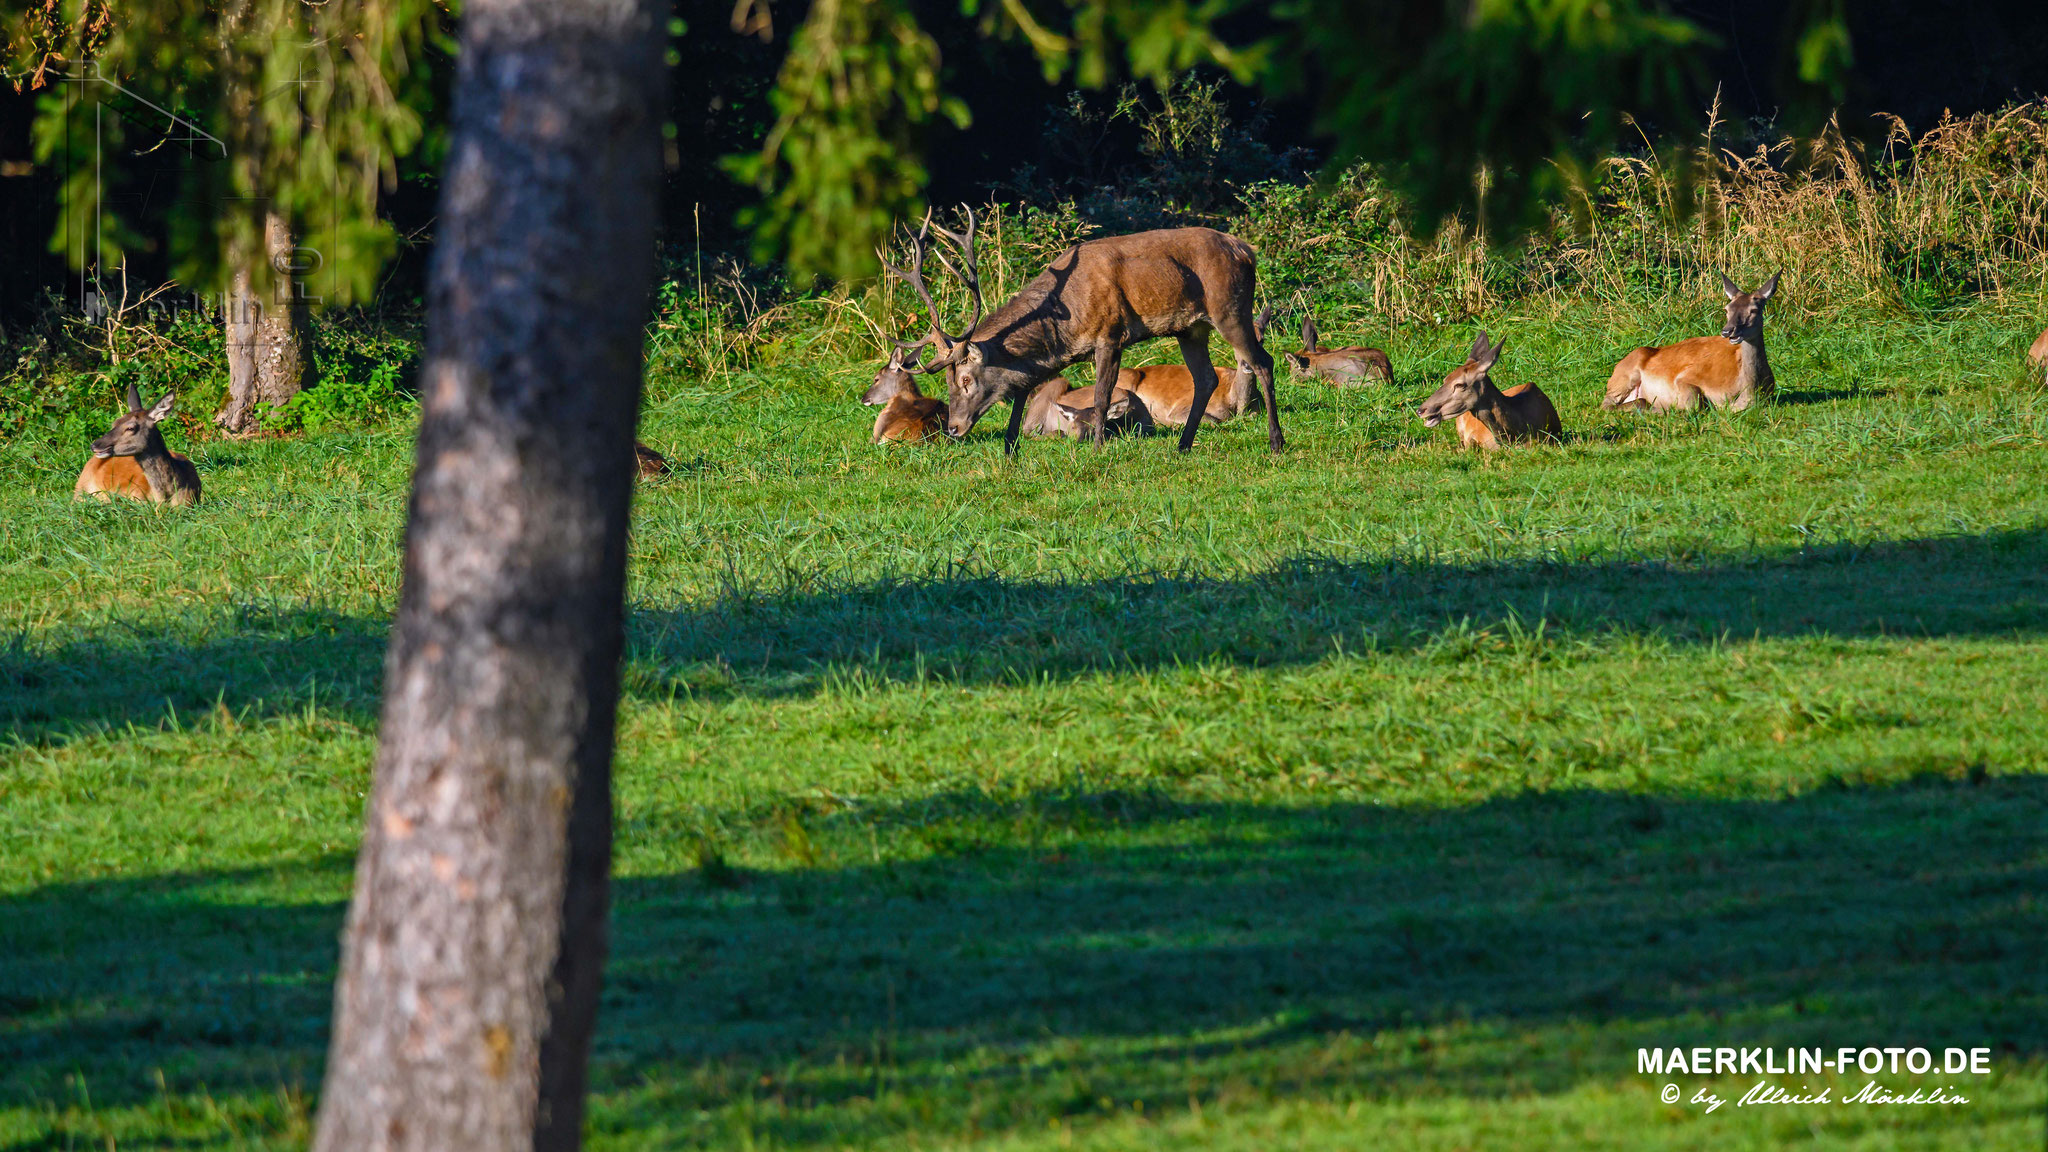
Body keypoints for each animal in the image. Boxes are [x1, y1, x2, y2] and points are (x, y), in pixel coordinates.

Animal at [880, 208, 1277, 450]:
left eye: (966, 379)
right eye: (948, 381)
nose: (953, 428)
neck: (1065, 325)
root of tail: (1247, 250)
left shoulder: (1110, 334)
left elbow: (1101, 396)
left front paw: (1099, 446)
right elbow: (1022, 392)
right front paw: (1010, 447)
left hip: (1230, 308)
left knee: (1263, 361)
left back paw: (1276, 442)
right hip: (1191, 328)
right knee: (1206, 377)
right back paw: (1182, 445)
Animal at [1597, 270, 1777, 409]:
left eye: (1753, 310)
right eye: (1727, 309)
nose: (1727, 331)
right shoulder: (1686, 377)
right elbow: (1694, 405)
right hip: (1623, 378)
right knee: (1607, 404)